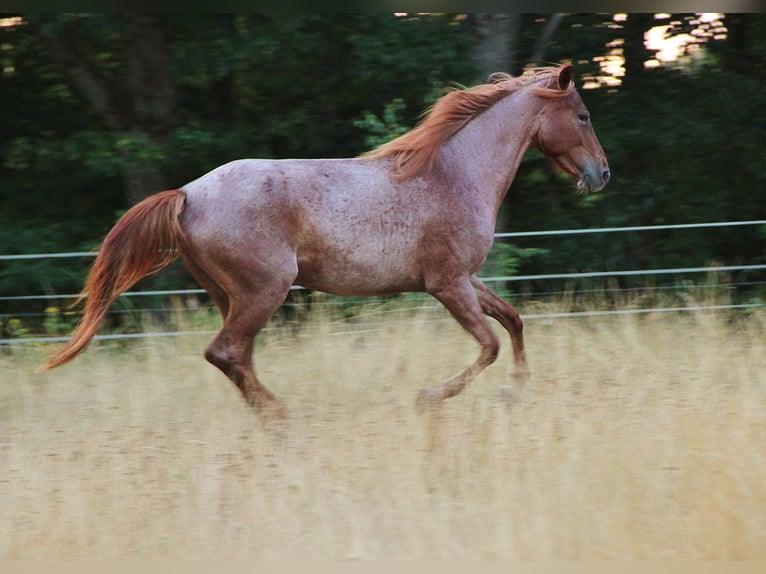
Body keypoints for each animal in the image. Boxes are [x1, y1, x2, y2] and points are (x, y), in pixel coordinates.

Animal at [40, 63, 609, 417]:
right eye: (582, 116)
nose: (602, 174)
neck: (455, 173)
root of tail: (187, 193)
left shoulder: (467, 280)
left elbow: (513, 321)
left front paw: (516, 392)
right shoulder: (447, 284)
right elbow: (489, 344)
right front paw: (428, 397)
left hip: (231, 296)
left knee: (237, 358)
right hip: (265, 290)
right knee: (225, 353)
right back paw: (282, 416)